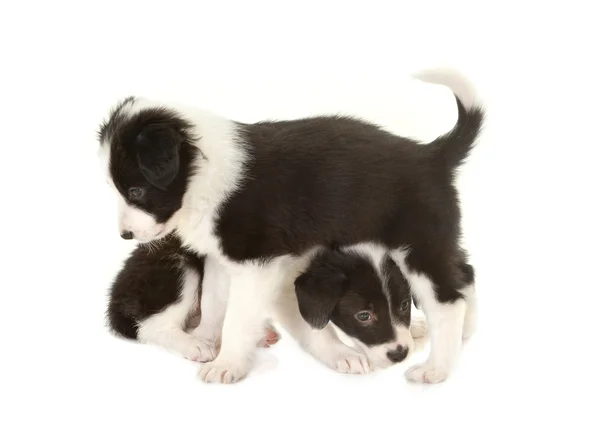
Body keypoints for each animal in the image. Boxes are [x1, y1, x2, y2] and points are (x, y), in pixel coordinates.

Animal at [108, 234, 426, 374]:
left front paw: (416, 327)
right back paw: (195, 345)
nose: (400, 353)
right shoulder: (284, 290)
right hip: (178, 265)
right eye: (363, 316)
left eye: (404, 306)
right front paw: (342, 353)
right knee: (155, 326)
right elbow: (316, 330)